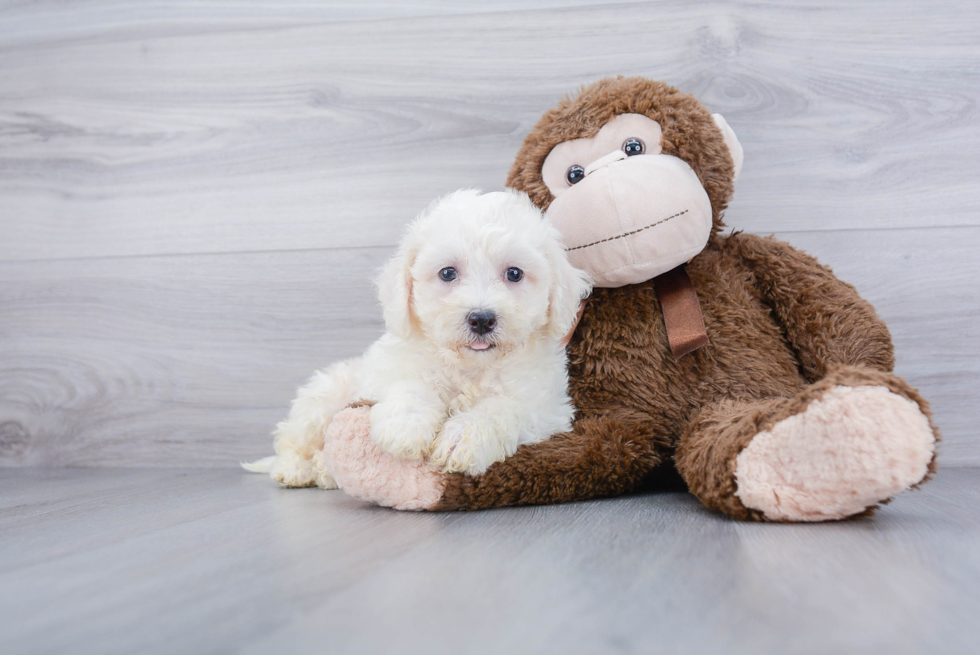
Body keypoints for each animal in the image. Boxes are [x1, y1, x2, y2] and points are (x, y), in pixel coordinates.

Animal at [249, 190, 592, 486]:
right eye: (448, 273)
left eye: (515, 274)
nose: (482, 319)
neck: (471, 365)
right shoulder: (390, 370)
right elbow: (410, 387)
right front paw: (404, 427)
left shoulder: (545, 407)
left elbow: (502, 409)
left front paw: (462, 438)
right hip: (321, 400)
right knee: (290, 439)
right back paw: (296, 469)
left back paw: (323, 470)